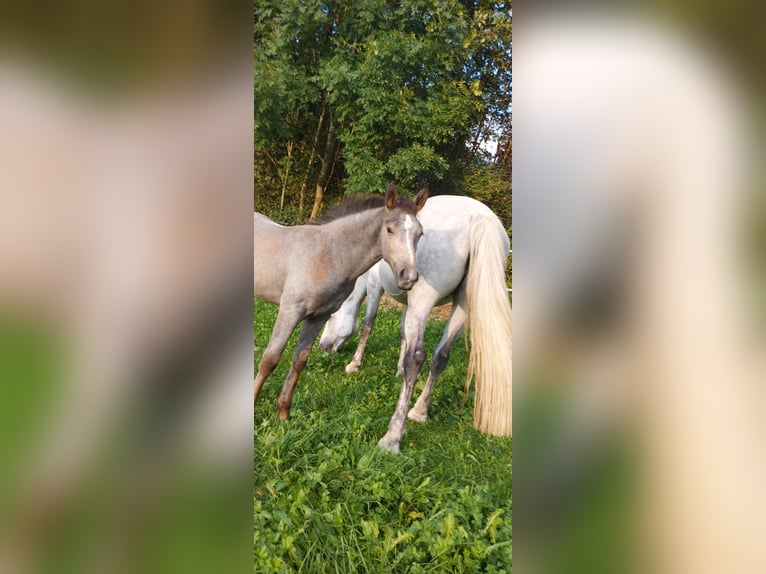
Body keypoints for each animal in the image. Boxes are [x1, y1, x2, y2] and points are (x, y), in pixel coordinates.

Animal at [253, 183, 429, 420]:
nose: (408, 277)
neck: (328, 255)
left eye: (420, 233)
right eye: (389, 229)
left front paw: (283, 413)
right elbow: (270, 359)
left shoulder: (318, 316)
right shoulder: (290, 311)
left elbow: (300, 360)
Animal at [318, 195, 512, 453]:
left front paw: (354, 364)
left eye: (330, 317)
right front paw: (399, 370)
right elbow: (403, 333)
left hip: (424, 301)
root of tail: (480, 218)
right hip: (462, 304)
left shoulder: (375, 285)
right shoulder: (406, 301)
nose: (323, 347)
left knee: (418, 356)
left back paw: (392, 436)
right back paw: (419, 411)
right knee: (441, 356)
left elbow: (369, 324)